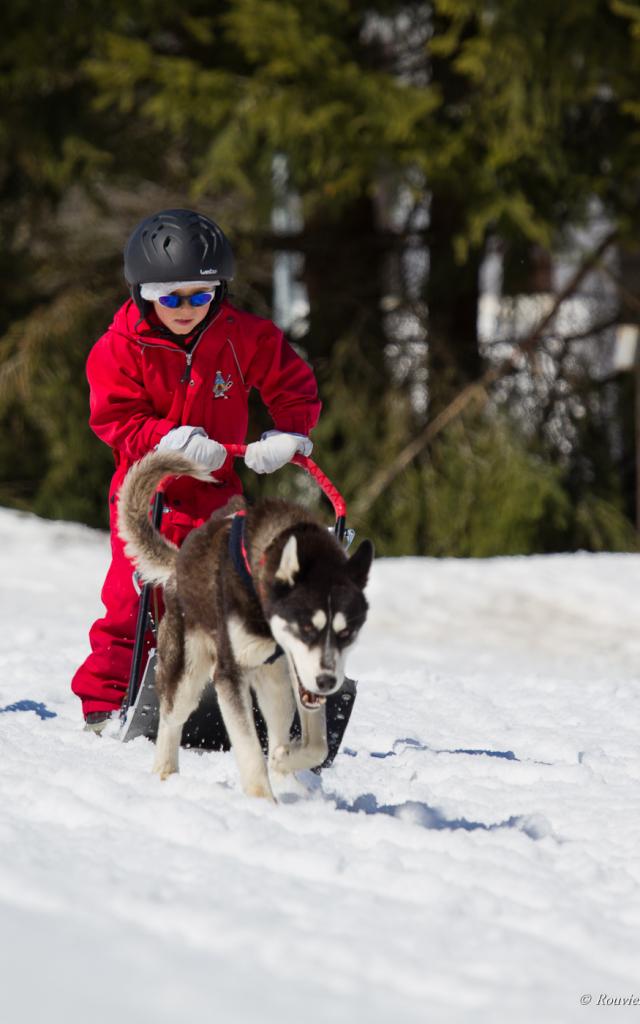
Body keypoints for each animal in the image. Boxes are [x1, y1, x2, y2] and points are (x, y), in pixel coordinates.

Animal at [117, 450, 372, 798]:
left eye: (347, 632)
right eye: (307, 627)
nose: (327, 681)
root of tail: (179, 562)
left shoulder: (300, 676)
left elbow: (317, 745)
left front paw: (283, 760)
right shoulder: (229, 674)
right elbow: (249, 749)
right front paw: (262, 800)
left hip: (275, 683)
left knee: (279, 722)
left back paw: (287, 773)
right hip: (186, 671)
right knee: (171, 718)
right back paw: (165, 773)